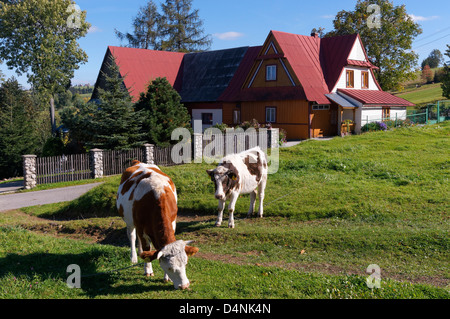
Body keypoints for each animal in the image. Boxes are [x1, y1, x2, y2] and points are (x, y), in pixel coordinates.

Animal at [117, 161, 198, 292]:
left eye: (185, 263)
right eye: (170, 268)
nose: (184, 286)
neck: (158, 194)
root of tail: (137, 162)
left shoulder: (173, 222)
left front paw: (166, 278)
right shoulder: (141, 226)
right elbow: (146, 247)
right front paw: (148, 270)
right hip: (128, 220)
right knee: (132, 236)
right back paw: (134, 257)